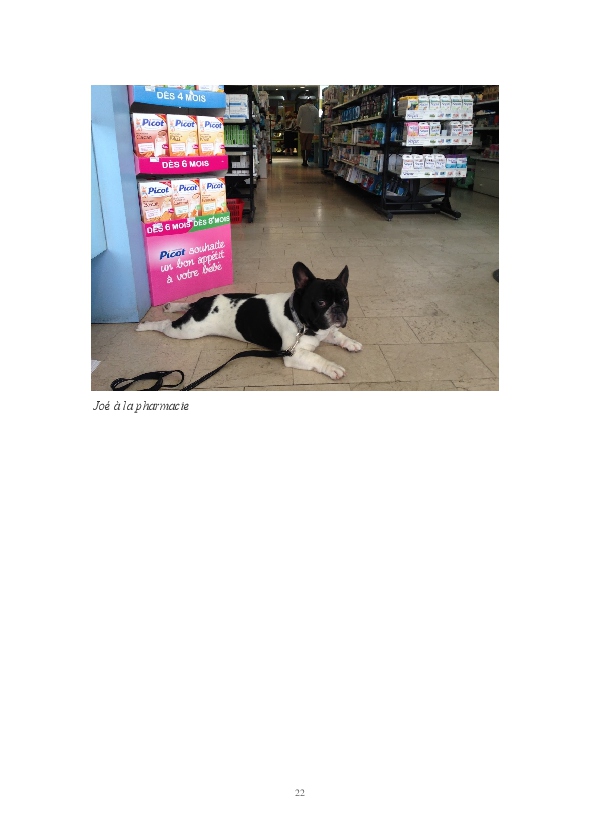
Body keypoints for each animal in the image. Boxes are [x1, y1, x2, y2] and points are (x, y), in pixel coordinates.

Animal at [136, 261, 362, 380]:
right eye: (321, 302)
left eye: (344, 299)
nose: (337, 310)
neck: (304, 322)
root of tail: (204, 304)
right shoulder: (294, 354)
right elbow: (316, 357)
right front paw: (332, 367)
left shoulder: (326, 330)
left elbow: (338, 334)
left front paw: (350, 342)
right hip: (188, 331)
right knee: (166, 325)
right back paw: (146, 325)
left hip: (192, 315)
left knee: (186, 306)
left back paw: (172, 306)